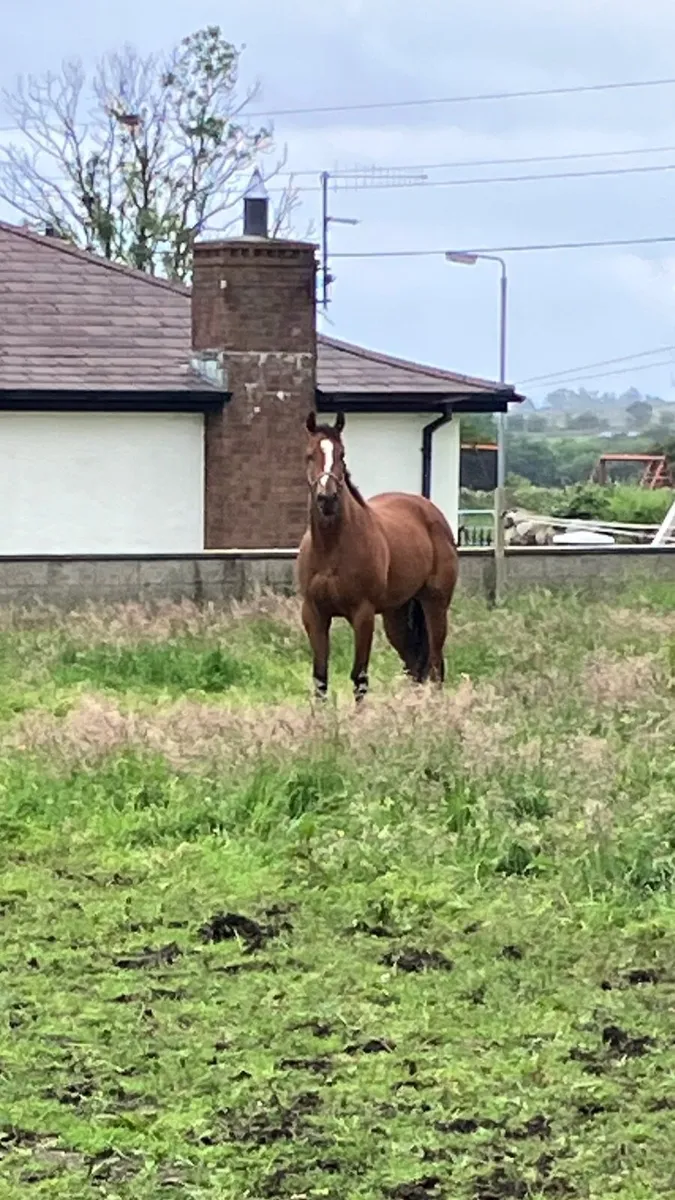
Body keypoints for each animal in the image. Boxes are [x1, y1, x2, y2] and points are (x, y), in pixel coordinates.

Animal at [297, 411, 459, 703]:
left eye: (342, 454)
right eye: (309, 455)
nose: (327, 498)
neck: (330, 549)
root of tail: (431, 511)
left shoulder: (363, 615)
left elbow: (359, 677)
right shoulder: (314, 614)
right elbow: (320, 678)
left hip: (435, 605)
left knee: (435, 665)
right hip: (397, 615)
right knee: (414, 666)